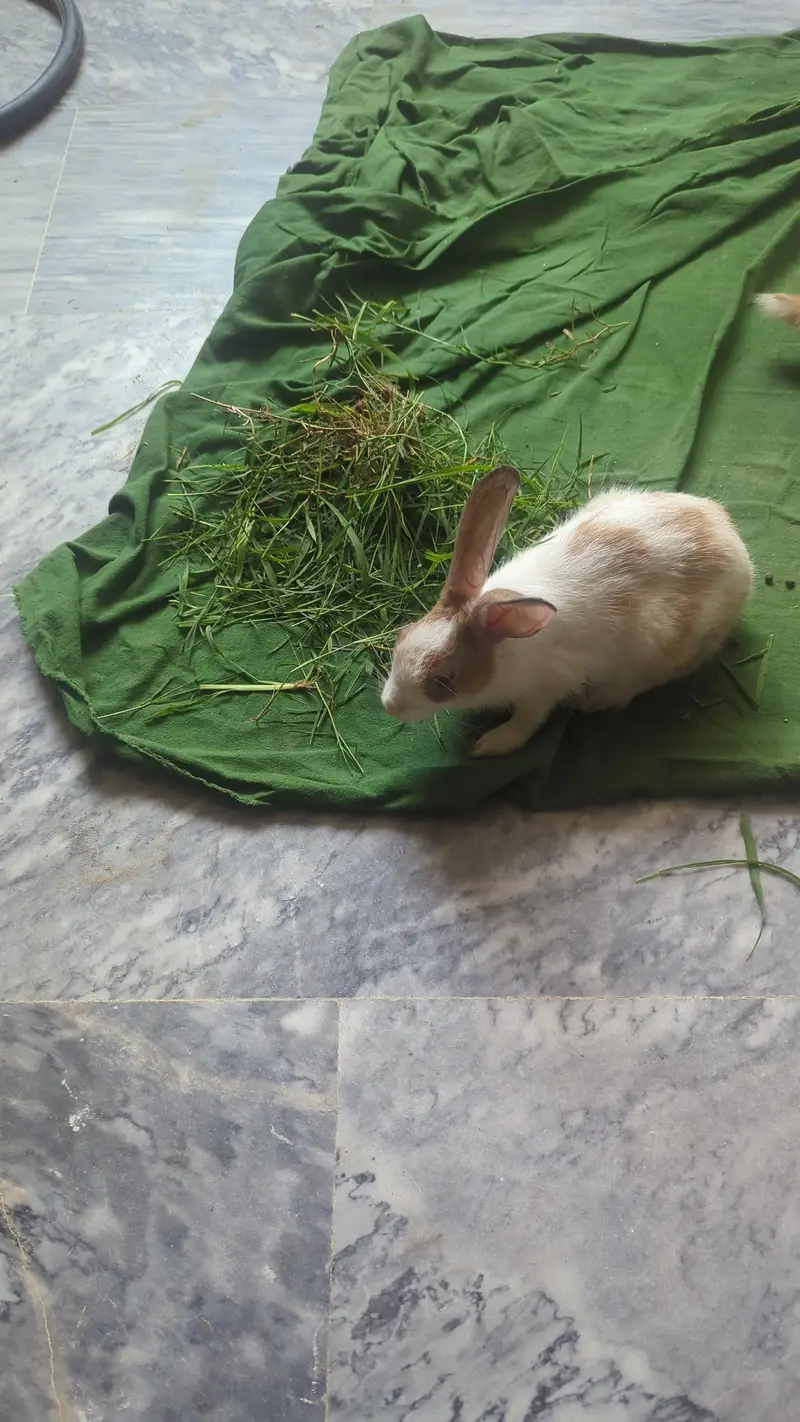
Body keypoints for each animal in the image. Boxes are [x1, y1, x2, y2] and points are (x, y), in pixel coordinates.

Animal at [381, 466, 754, 757]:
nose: (389, 706)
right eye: (401, 637)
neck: (502, 646)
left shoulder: (542, 692)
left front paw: (490, 744)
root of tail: (732, 541)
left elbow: (526, 722)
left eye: (445, 679)